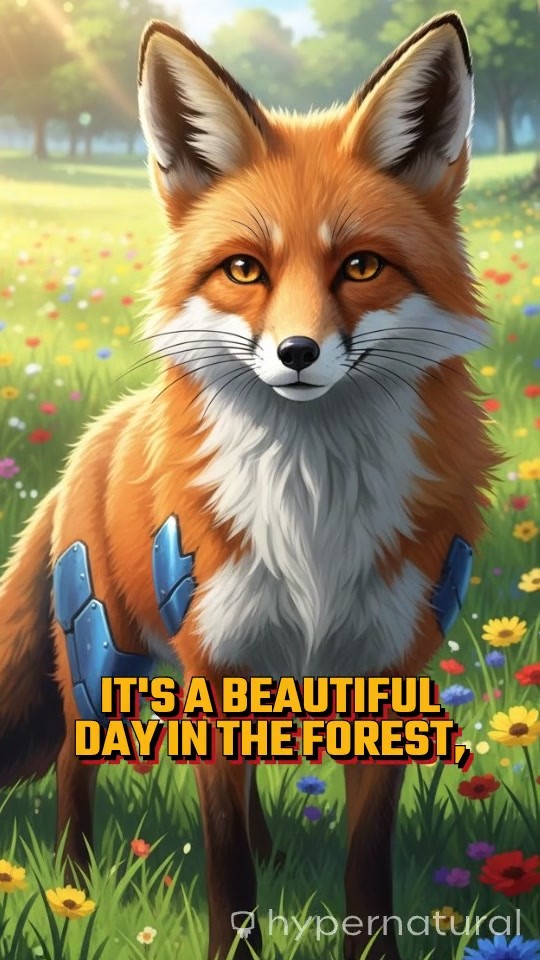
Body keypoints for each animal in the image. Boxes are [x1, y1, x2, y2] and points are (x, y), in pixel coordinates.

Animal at [0, 11, 500, 960]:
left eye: (360, 266)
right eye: (244, 271)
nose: (297, 353)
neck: (311, 512)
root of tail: (94, 436)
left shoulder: (387, 672)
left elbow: (366, 867)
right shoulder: (214, 659)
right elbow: (225, 862)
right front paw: (235, 945)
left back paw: (274, 855)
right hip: (101, 659)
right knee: (76, 776)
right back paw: (75, 886)